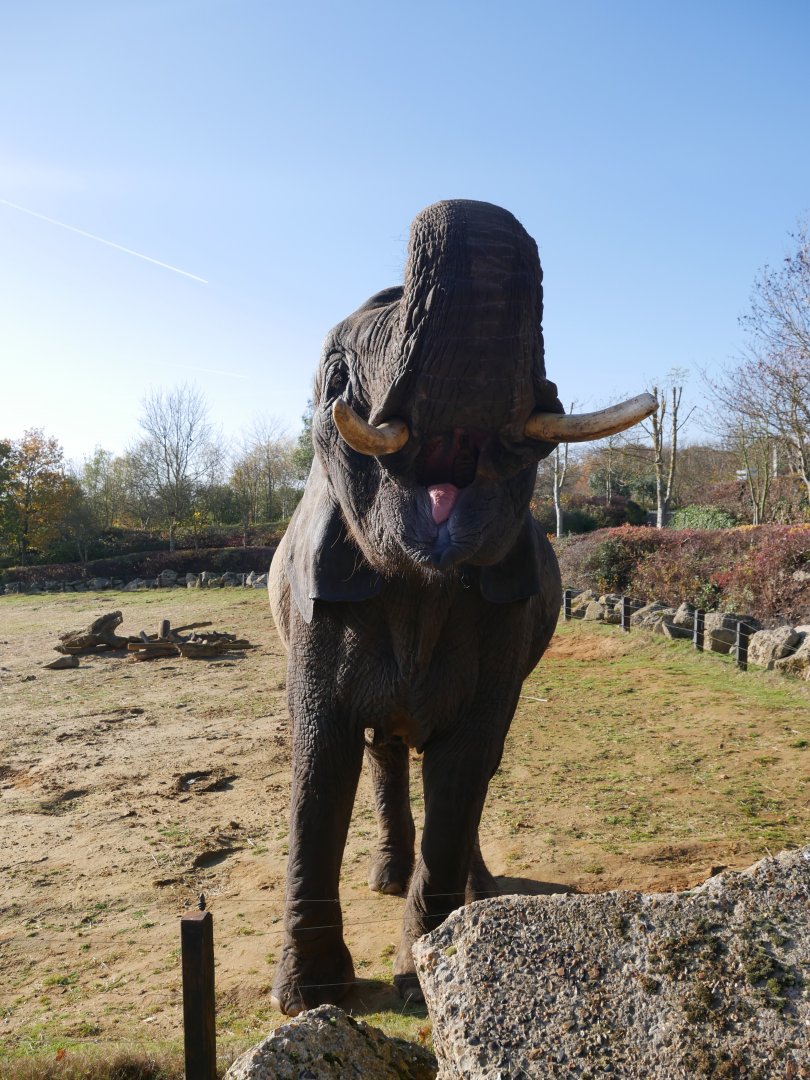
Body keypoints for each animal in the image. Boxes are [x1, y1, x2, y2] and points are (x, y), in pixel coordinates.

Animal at [268, 199, 655, 1015]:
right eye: (337, 376)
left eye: (547, 383)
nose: (478, 205)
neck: (425, 577)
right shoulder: (317, 609)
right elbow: (320, 756)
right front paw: (311, 998)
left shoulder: (507, 625)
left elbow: (467, 759)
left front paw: (429, 975)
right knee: (382, 751)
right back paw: (388, 877)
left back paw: (477, 894)